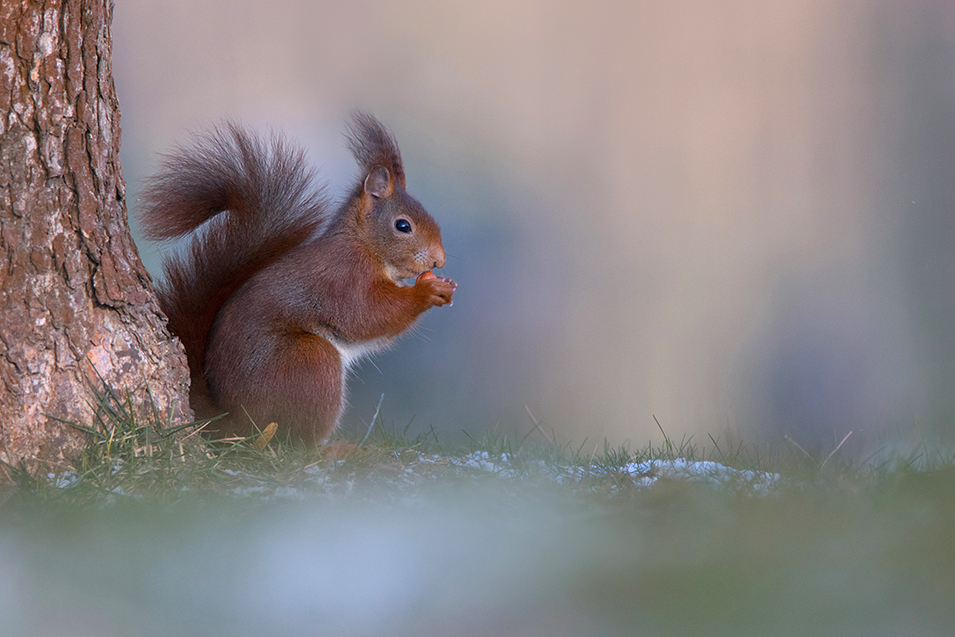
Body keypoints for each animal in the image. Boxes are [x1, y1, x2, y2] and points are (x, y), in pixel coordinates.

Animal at [138, 114, 460, 442]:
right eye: (403, 226)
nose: (440, 260)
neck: (363, 245)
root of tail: (231, 422)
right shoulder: (344, 277)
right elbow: (366, 315)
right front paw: (427, 292)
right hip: (311, 361)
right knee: (294, 443)